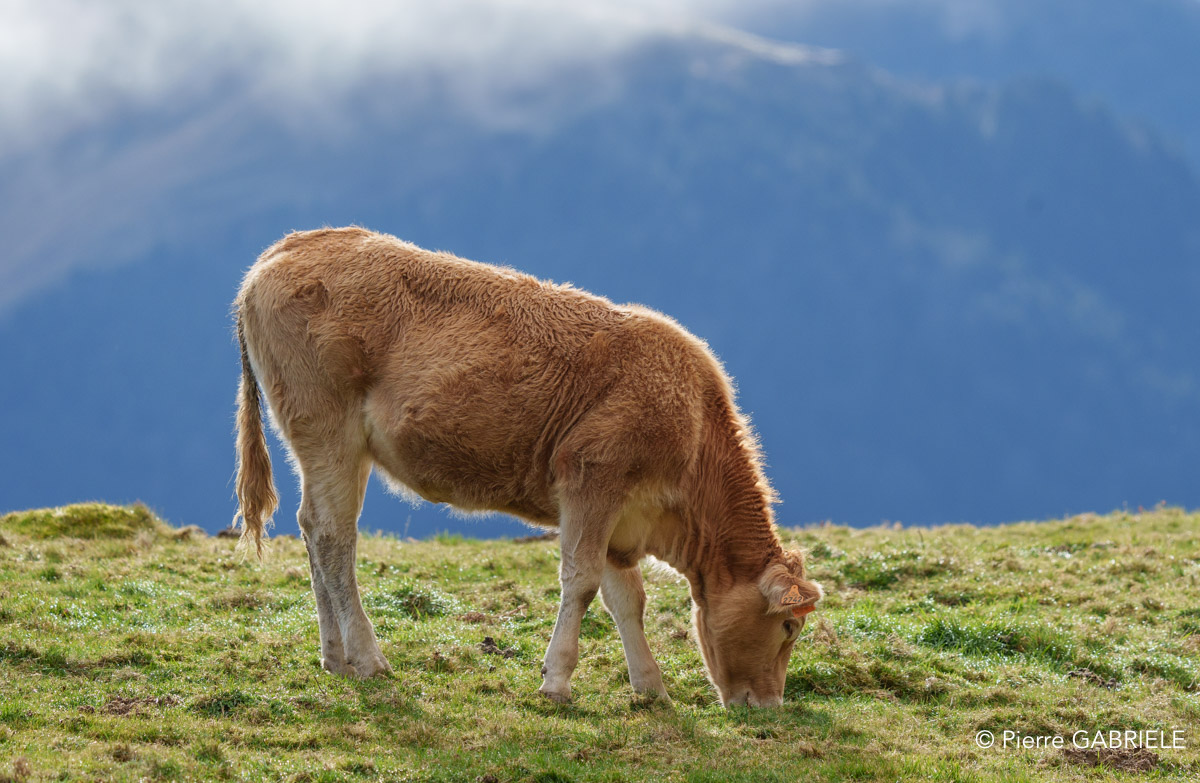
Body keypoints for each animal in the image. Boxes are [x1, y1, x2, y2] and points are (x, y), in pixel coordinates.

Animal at [232, 227, 823, 707]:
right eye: (789, 628)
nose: (769, 705)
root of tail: (289, 246)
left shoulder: (619, 516)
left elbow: (626, 600)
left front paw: (651, 688)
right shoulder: (592, 478)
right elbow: (581, 582)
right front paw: (557, 682)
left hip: (324, 445)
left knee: (313, 528)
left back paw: (335, 658)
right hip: (328, 429)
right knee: (335, 536)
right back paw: (368, 658)